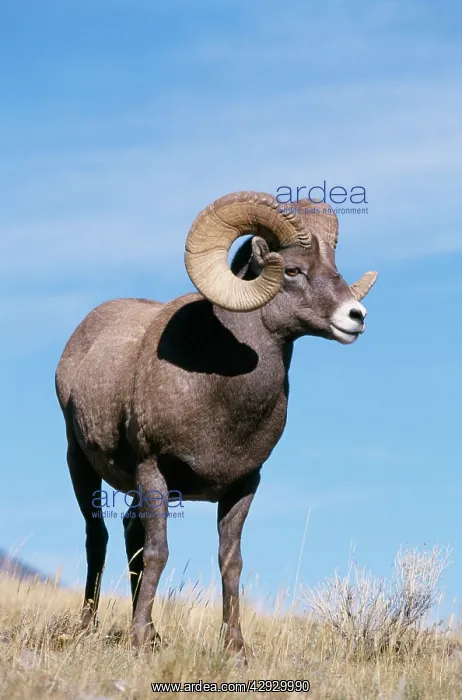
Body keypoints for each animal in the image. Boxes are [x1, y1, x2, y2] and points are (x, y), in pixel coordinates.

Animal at [55, 191, 378, 657]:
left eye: (334, 267)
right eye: (293, 270)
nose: (356, 316)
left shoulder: (244, 484)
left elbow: (230, 562)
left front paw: (235, 649)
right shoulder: (154, 470)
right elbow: (158, 553)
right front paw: (138, 643)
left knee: (130, 532)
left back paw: (154, 633)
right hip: (80, 464)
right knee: (97, 538)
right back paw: (90, 629)